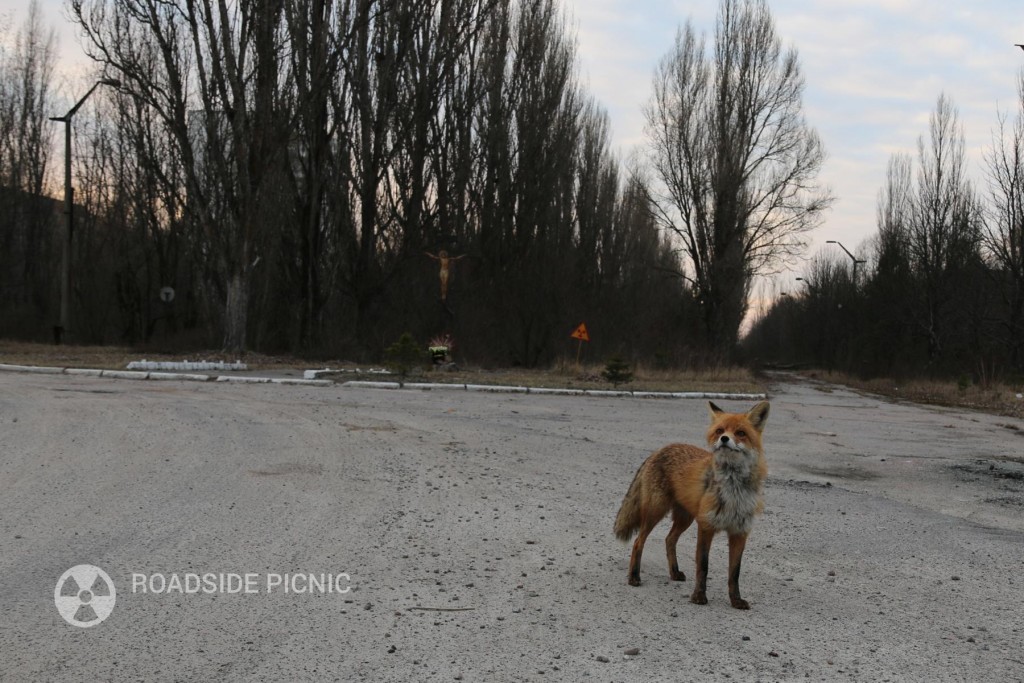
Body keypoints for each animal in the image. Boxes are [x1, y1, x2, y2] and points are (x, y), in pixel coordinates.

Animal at [614, 401, 770, 610]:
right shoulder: (706, 526)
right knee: (639, 541)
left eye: (740, 433)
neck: (733, 488)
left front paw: (735, 600)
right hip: (656, 511)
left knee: (669, 540)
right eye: (720, 430)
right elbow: (703, 566)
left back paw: (674, 572)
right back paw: (634, 576)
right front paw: (699, 596)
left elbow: (734, 573)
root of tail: (659, 450)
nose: (724, 439)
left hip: (685, 518)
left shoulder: (740, 532)